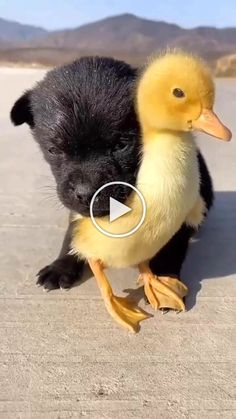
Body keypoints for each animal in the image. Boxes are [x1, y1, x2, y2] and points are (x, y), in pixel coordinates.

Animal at [11, 55, 214, 292]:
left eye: (121, 145)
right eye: (53, 150)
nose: (86, 193)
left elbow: (170, 249)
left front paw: (165, 280)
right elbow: (72, 233)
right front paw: (61, 265)